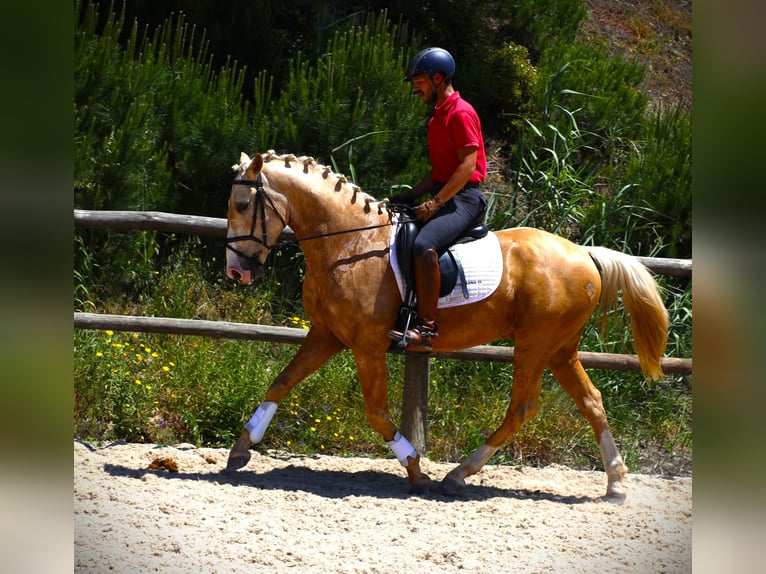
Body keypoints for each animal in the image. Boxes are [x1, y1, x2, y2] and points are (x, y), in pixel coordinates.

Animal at [225, 151, 668, 502]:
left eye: (244, 204)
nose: (236, 271)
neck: (349, 244)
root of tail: (583, 253)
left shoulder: (366, 345)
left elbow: (377, 412)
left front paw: (415, 468)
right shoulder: (327, 335)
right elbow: (280, 383)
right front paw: (241, 448)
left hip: (534, 345)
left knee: (522, 408)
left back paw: (456, 476)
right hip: (559, 348)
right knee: (591, 400)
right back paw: (615, 484)